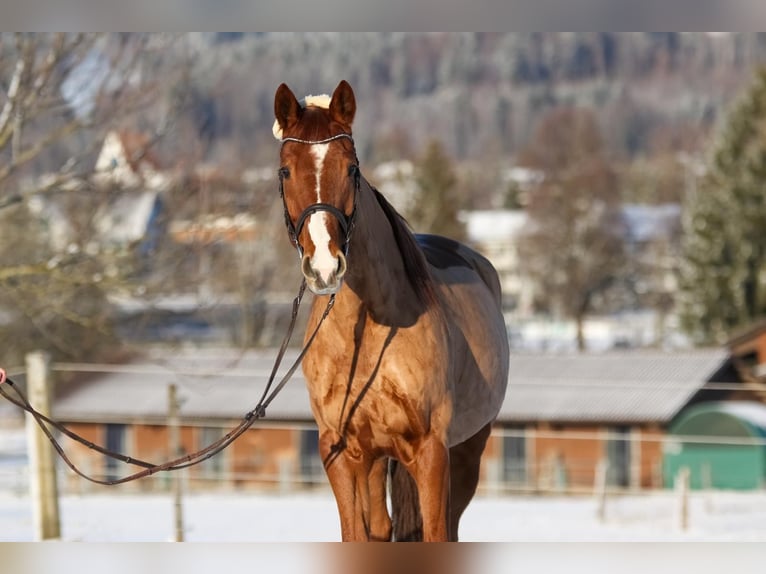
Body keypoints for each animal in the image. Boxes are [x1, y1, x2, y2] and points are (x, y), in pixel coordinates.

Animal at [273, 80, 509, 541]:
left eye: (351, 168)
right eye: (286, 171)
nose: (325, 266)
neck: (367, 334)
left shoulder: (432, 452)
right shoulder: (340, 453)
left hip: (466, 452)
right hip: (377, 460)